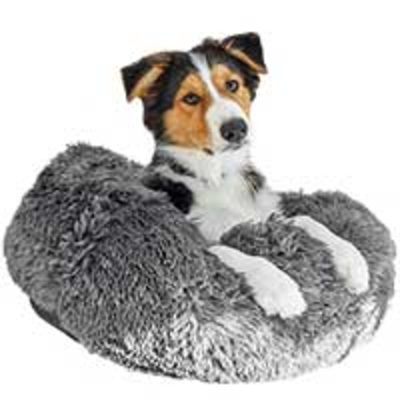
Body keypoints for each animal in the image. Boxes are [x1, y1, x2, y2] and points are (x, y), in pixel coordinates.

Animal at [121, 33, 370, 318]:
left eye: (232, 84)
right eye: (191, 98)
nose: (236, 129)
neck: (220, 175)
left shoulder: (266, 215)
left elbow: (307, 219)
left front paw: (352, 260)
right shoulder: (201, 238)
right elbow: (230, 250)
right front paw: (280, 288)